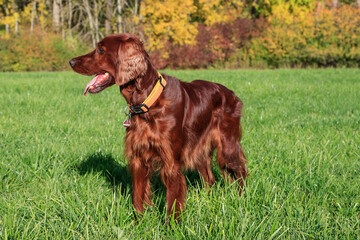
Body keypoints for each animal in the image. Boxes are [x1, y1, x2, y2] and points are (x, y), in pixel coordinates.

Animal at [69, 33, 246, 219]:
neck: (148, 103)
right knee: (210, 178)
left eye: (101, 50)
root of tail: (232, 94)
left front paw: (172, 224)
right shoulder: (138, 157)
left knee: (241, 172)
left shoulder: (170, 161)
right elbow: (138, 197)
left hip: (227, 146)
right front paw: (138, 221)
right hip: (200, 149)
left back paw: (242, 200)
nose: (71, 61)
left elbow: (172, 201)